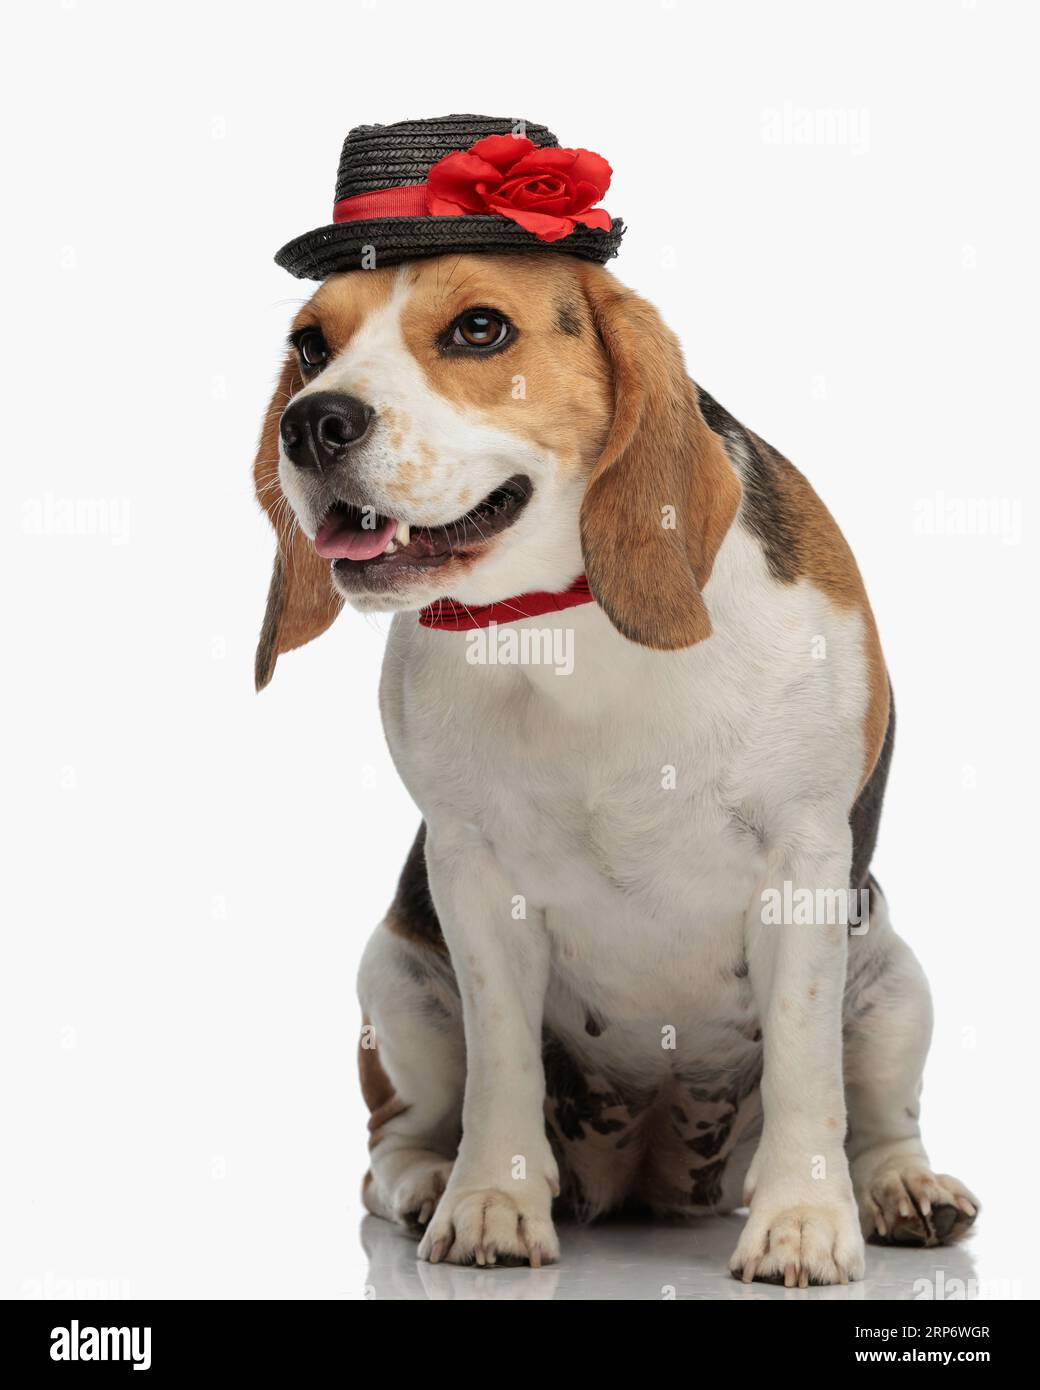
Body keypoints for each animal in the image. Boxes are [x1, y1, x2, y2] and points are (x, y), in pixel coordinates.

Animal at [255, 252, 978, 1278]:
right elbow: (502, 1056)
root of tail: (649, 1162)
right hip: (398, 982)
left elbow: (805, 1061)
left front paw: (802, 1220)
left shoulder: (804, 864)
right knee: (392, 1141)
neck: (571, 618)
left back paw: (900, 1190)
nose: (313, 421)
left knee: (878, 1117)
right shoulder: (471, 874)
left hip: (893, 987)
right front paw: (491, 1202)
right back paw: (431, 1181)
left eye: (480, 329)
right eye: (312, 345)